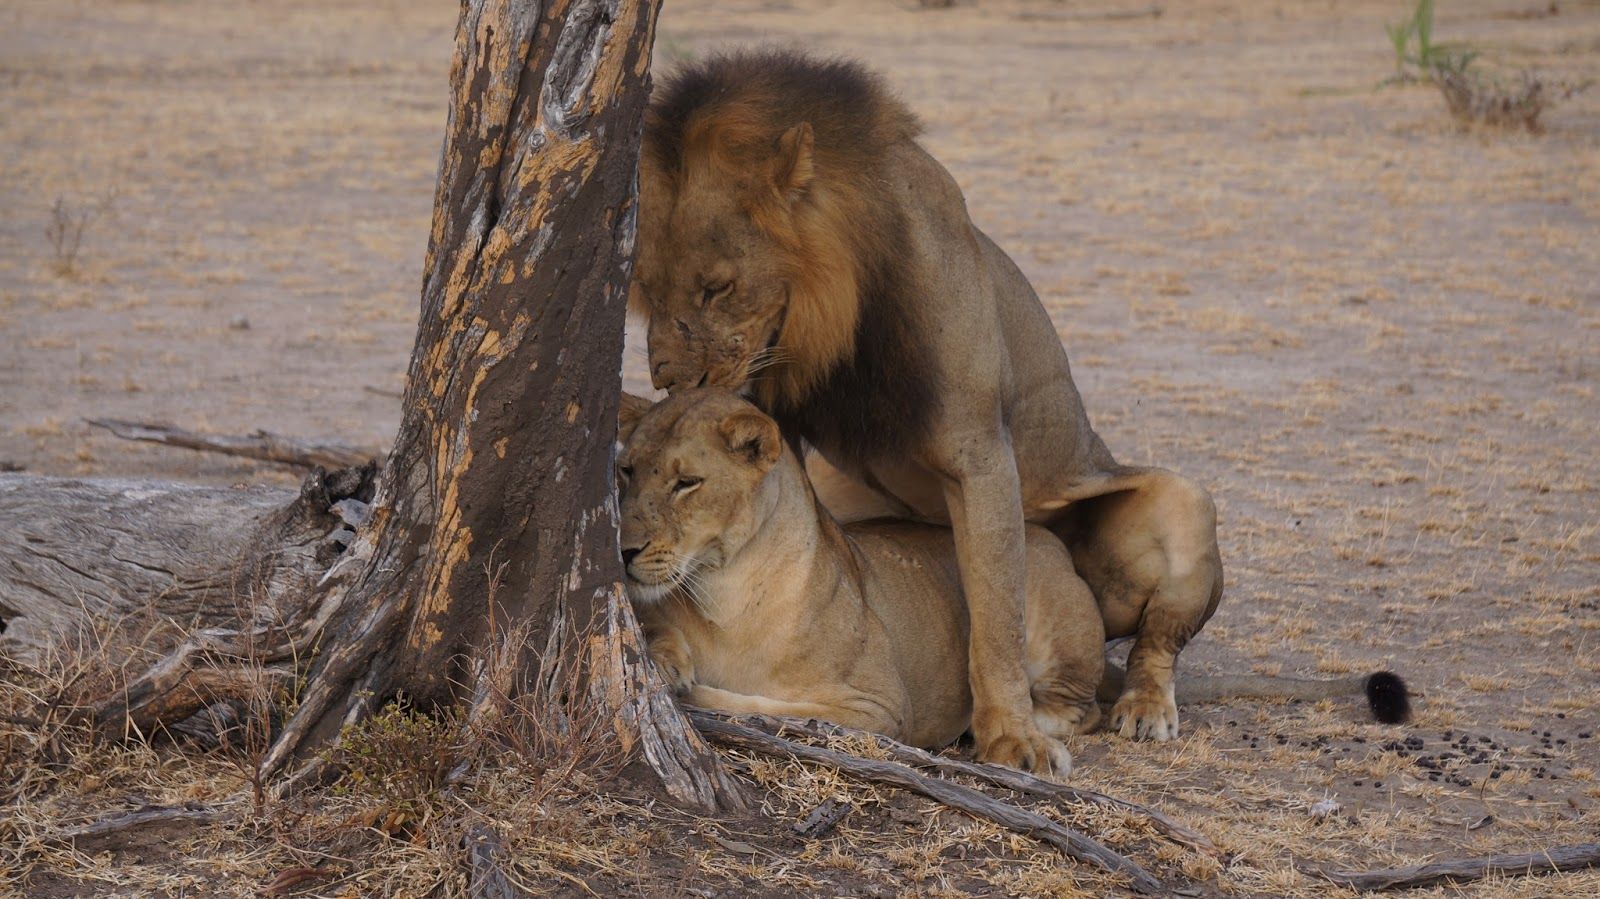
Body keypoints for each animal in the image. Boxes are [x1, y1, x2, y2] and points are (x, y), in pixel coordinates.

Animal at [617, 385, 1107, 771]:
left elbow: (765, 708)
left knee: (1081, 708)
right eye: (627, 471)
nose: (623, 549)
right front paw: (665, 660)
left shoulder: (879, 708)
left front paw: (694, 692)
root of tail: (1044, 533)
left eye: (687, 482)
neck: (724, 591)